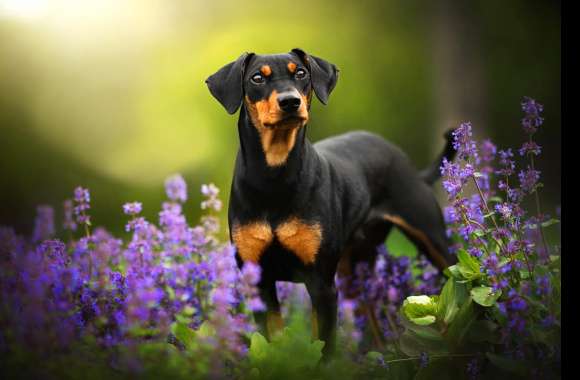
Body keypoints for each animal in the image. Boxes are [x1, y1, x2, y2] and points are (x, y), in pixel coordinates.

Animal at [206, 49, 456, 358]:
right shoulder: (260, 282)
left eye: (301, 73)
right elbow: (271, 340)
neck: (274, 177)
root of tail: (409, 166)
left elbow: (323, 346)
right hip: (352, 270)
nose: (290, 102)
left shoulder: (321, 282)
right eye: (256, 78)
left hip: (433, 240)